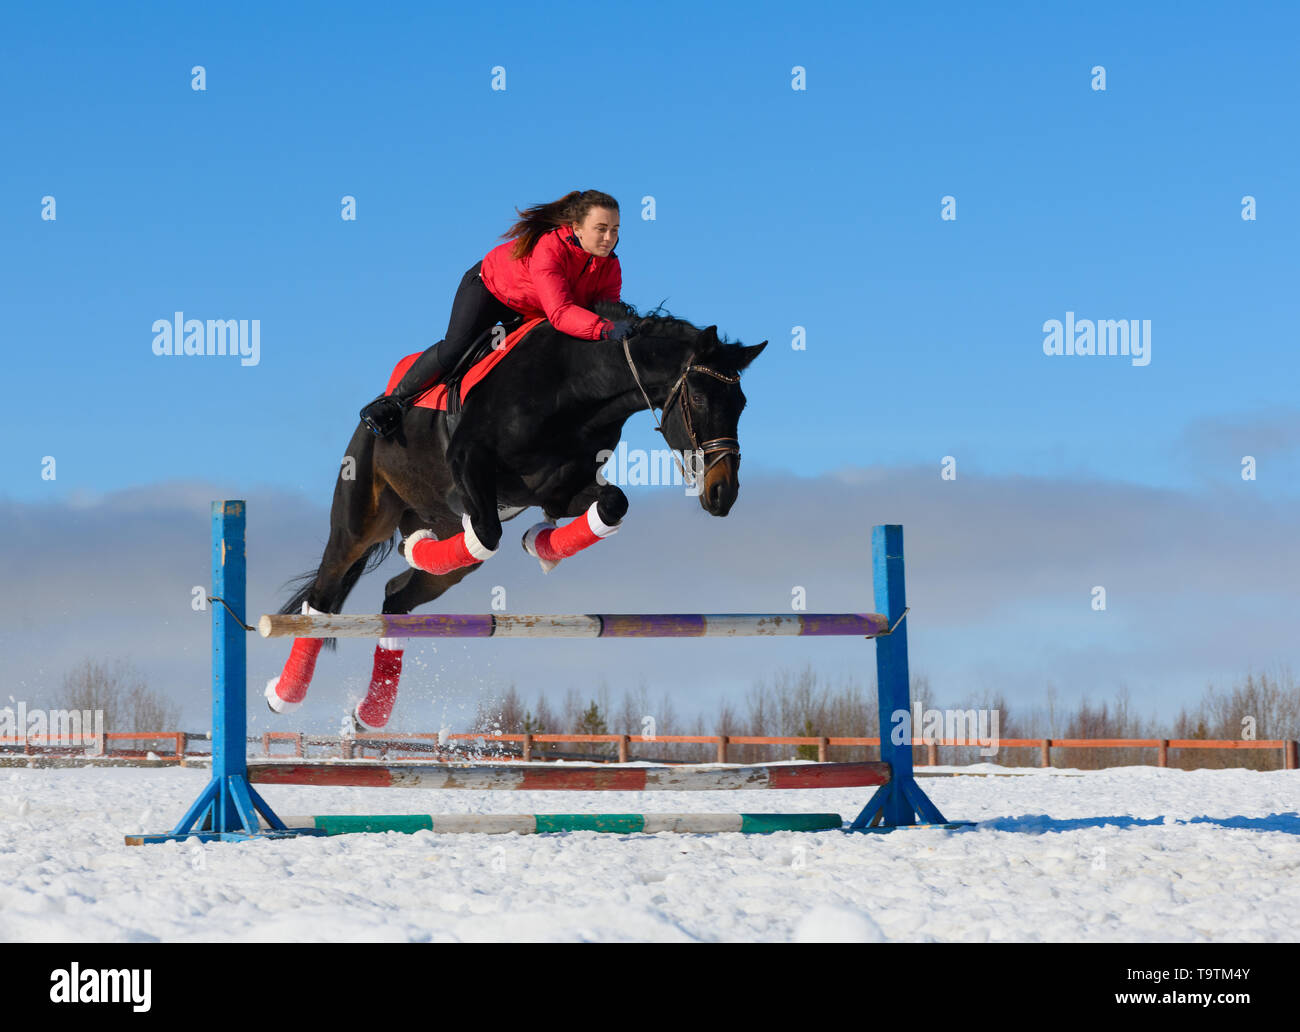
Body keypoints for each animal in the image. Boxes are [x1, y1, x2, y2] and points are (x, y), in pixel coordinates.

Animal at [266, 300, 767, 729]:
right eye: (699, 401)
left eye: (741, 405)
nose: (722, 494)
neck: (577, 388)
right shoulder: (470, 467)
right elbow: (488, 533)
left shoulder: (561, 491)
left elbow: (611, 504)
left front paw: (540, 544)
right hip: (359, 520)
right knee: (325, 595)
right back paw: (285, 695)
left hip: (446, 553)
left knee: (397, 597)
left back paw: (372, 712)